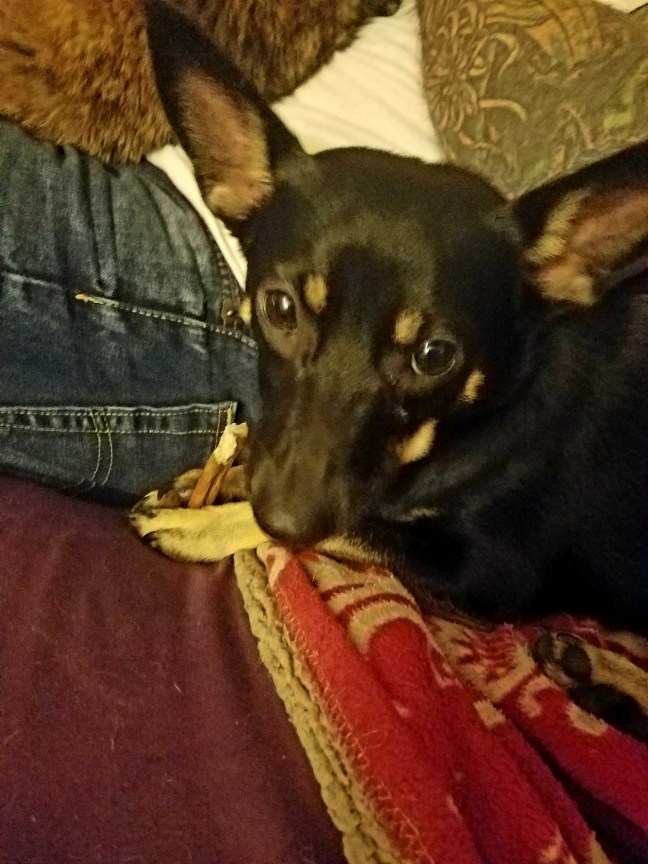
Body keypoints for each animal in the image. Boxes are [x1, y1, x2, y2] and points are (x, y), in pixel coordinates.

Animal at [132, 1, 648, 640]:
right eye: (280, 308)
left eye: (434, 356)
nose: (286, 518)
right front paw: (221, 477)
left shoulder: (488, 574)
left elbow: (354, 526)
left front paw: (203, 527)